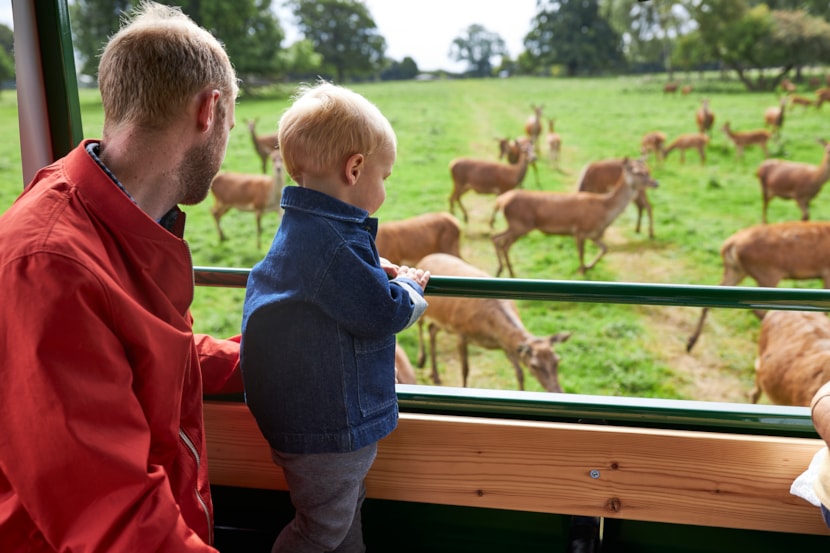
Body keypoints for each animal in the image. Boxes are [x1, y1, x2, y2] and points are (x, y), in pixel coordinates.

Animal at [416, 252, 572, 390]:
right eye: (534, 365)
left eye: (557, 361)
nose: (557, 390)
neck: (489, 330)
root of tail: (425, 258)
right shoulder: (460, 332)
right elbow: (465, 369)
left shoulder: (505, 345)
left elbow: (519, 373)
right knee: (421, 325)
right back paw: (421, 361)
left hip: (443, 321)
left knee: (431, 329)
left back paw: (435, 376)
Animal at [490, 155, 660, 276]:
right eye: (638, 172)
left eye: (647, 170)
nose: (655, 182)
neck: (605, 212)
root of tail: (501, 201)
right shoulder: (579, 230)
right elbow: (581, 255)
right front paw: (582, 271)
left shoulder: (594, 234)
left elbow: (605, 249)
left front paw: (589, 266)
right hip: (520, 224)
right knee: (502, 242)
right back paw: (510, 272)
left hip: (518, 225)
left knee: (498, 239)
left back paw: (502, 270)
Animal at [684, 219, 830, 352]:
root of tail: (729, 245)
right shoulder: (826, 272)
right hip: (768, 273)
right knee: (760, 310)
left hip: (736, 270)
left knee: (710, 301)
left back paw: (691, 342)